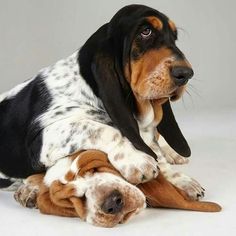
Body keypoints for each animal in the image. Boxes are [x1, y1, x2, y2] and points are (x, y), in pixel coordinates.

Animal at [0, 4, 203, 201]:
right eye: (146, 31)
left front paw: (182, 180)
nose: (186, 74)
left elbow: (155, 150)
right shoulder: (42, 138)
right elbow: (101, 129)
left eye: (174, 38)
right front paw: (136, 160)